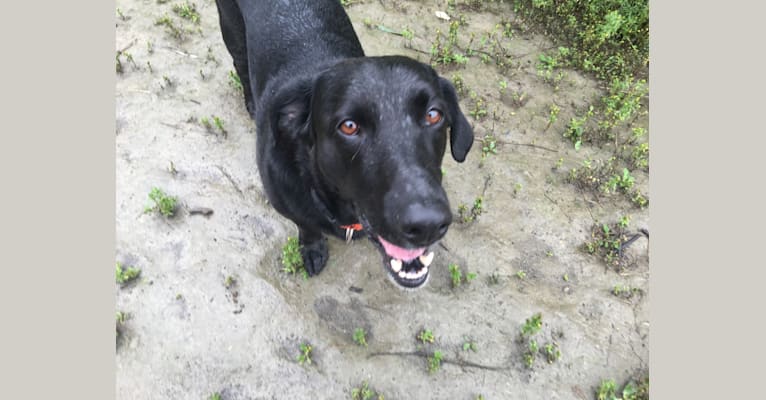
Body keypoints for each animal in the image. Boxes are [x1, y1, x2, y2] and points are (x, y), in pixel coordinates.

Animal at [216, 0, 474, 288]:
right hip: (231, 30)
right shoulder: (286, 201)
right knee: (240, 62)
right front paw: (312, 248)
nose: (427, 224)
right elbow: (307, 227)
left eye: (433, 115)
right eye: (349, 126)